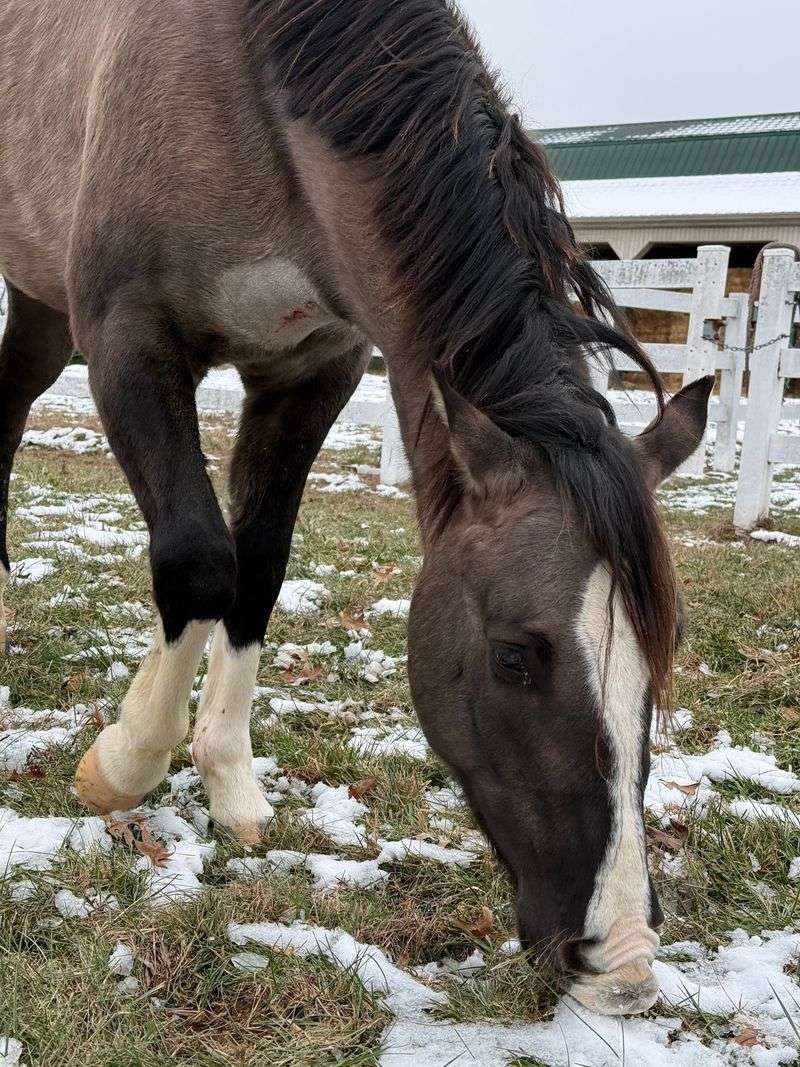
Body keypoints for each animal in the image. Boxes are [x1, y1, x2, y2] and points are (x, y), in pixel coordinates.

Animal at [0, 0, 712, 1016]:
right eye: (514, 655)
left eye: (659, 659)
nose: (620, 962)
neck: (242, 77)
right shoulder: (127, 337)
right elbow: (199, 558)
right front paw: (123, 763)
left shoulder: (312, 369)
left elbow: (256, 567)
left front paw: (228, 779)